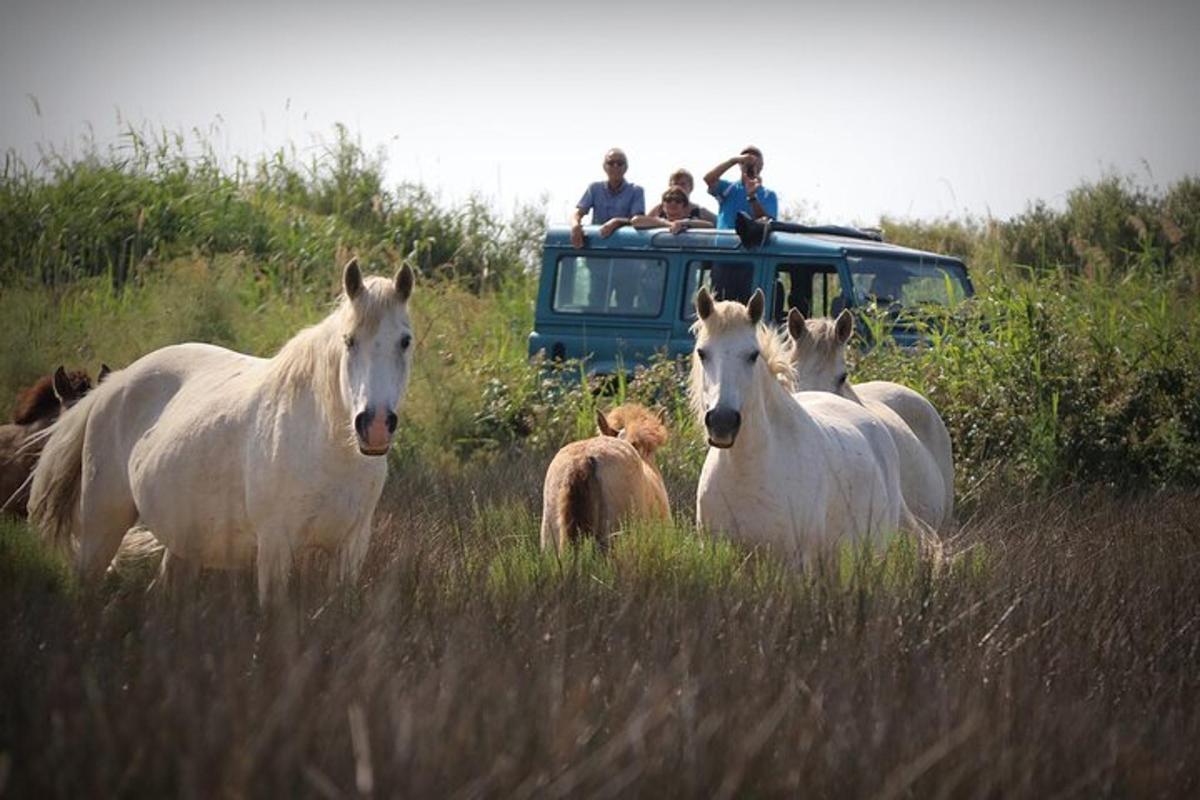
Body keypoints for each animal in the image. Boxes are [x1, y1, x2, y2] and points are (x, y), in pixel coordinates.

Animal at [29, 260, 412, 604]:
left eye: (405, 341)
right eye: (349, 340)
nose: (375, 425)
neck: (328, 449)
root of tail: (113, 385)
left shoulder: (350, 550)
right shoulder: (274, 547)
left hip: (181, 541)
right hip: (100, 530)